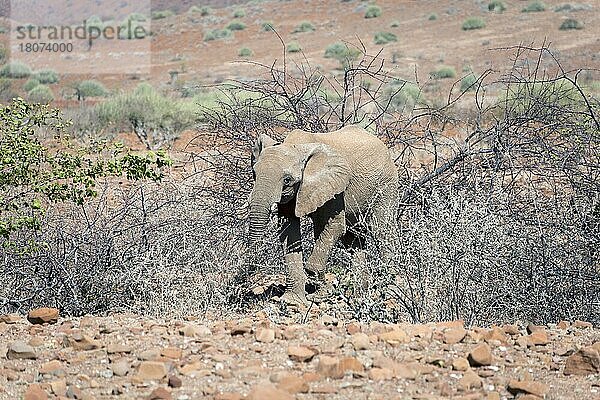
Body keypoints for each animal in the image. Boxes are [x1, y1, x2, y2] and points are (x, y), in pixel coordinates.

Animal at [248, 126, 398, 304]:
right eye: (254, 174)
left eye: (287, 180)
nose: (250, 271)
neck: (296, 146)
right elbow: (288, 231)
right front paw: (292, 301)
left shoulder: (335, 187)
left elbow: (335, 227)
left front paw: (319, 296)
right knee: (353, 240)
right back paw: (359, 296)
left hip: (386, 184)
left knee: (382, 231)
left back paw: (389, 292)